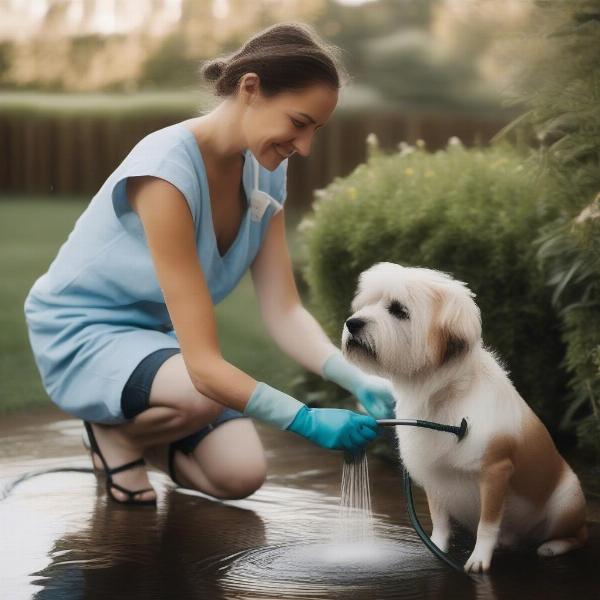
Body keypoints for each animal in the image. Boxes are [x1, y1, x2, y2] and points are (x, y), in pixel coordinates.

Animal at [342, 262, 584, 572]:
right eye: (368, 304)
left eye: (398, 310)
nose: (353, 323)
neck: (440, 395)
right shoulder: (433, 474)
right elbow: (440, 520)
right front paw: (437, 547)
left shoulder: (495, 471)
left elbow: (487, 524)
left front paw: (479, 559)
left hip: (567, 500)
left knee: (578, 535)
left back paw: (553, 546)